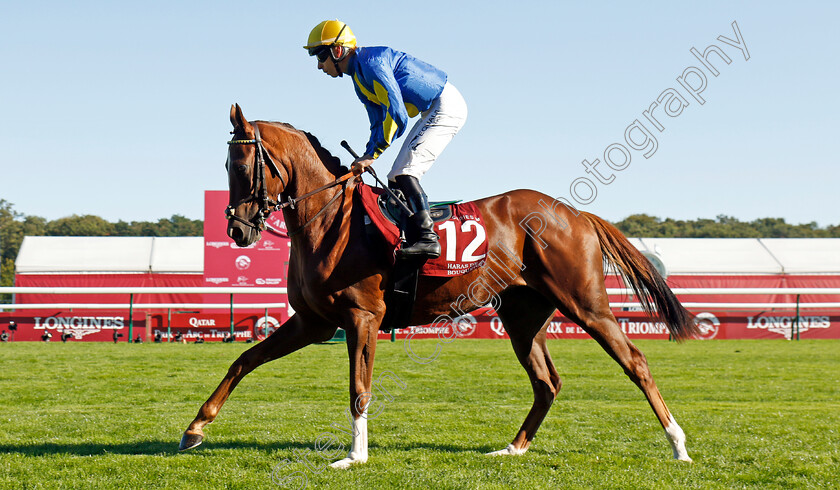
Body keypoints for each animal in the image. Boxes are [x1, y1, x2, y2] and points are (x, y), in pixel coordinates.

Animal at [180, 104, 700, 468]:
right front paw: (195, 428)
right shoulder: (313, 322)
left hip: (584, 303)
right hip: (522, 315)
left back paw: (678, 445)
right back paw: (512, 449)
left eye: (241, 167)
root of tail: (574, 213)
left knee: (635, 362)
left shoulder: (361, 317)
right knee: (546, 382)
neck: (330, 221)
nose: (237, 230)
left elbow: (359, 387)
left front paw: (354, 456)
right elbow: (244, 359)